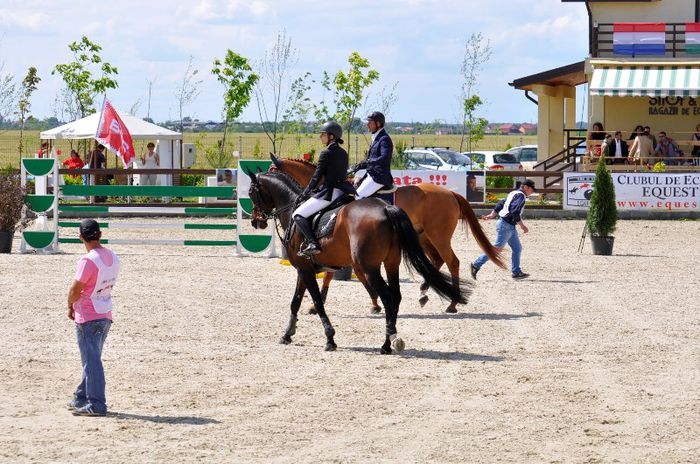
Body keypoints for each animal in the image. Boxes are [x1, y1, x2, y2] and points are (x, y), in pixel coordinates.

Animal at [246, 169, 470, 354]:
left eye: (251, 192)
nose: (256, 221)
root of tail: (386, 208)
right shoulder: (305, 268)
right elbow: (295, 301)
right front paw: (287, 334)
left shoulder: (307, 269)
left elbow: (317, 300)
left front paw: (330, 338)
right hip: (393, 261)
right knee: (399, 294)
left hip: (381, 262)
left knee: (397, 291)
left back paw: (388, 343)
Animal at [268, 154, 504, 314]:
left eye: (272, 170)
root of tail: (451, 193)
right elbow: (331, 273)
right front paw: (317, 304)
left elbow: (343, 273)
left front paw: (374, 303)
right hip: (423, 236)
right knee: (436, 260)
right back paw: (424, 292)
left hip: (438, 236)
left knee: (452, 261)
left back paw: (452, 303)